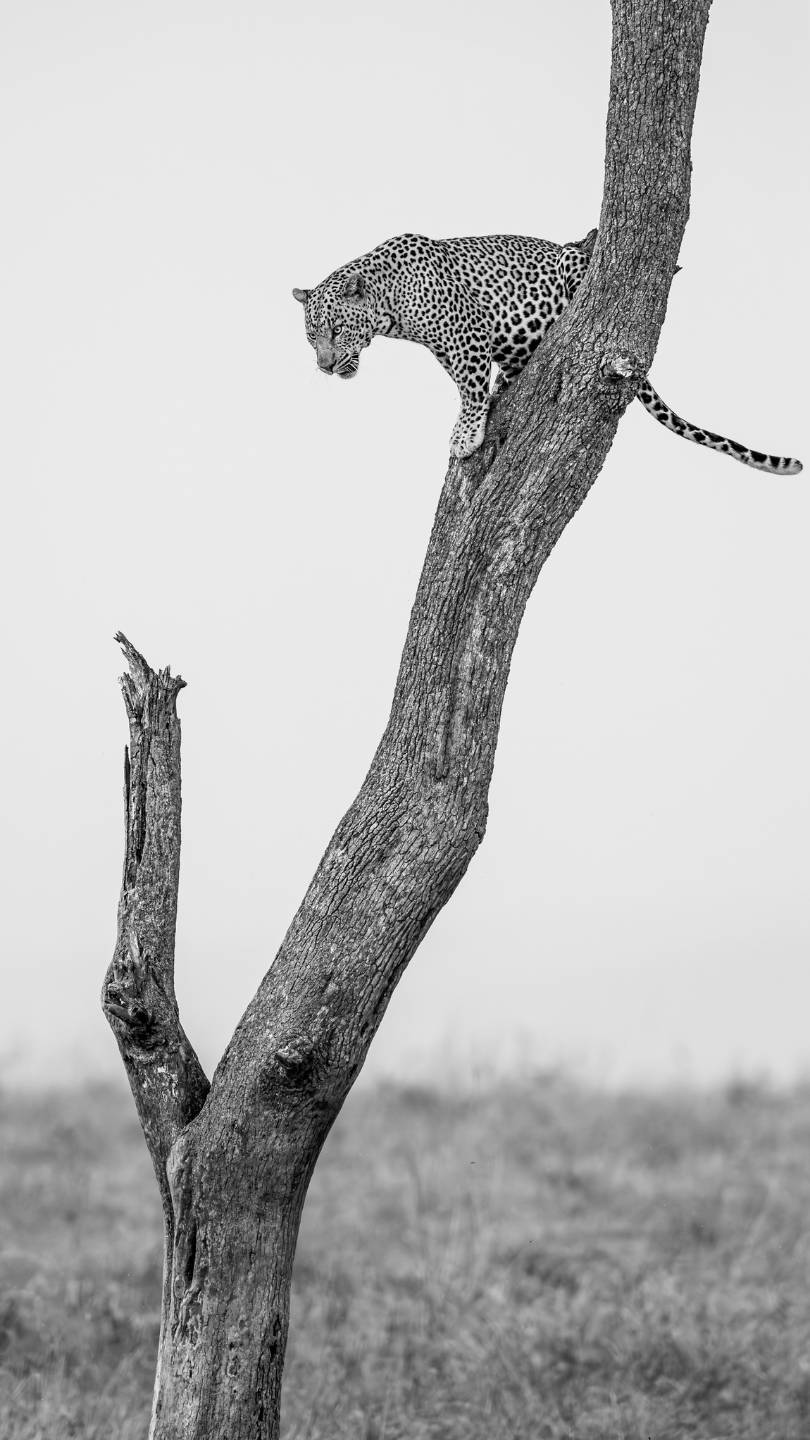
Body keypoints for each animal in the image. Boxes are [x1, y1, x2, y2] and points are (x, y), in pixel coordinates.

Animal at [292, 232, 802, 475]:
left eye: (336, 330)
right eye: (312, 339)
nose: (325, 366)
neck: (389, 305)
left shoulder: (468, 336)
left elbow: (470, 390)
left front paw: (466, 436)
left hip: (573, 262)